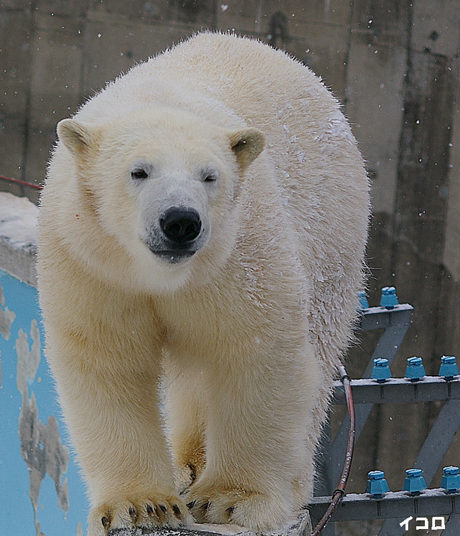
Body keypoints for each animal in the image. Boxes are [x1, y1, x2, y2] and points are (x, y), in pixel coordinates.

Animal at [38, 32, 370, 536]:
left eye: (210, 176)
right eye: (138, 171)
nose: (180, 221)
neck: (161, 275)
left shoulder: (238, 257)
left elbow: (254, 352)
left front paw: (232, 500)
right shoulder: (91, 264)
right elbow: (109, 360)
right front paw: (143, 504)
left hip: (330, 232)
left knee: (316, 349)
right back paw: (186, 466)